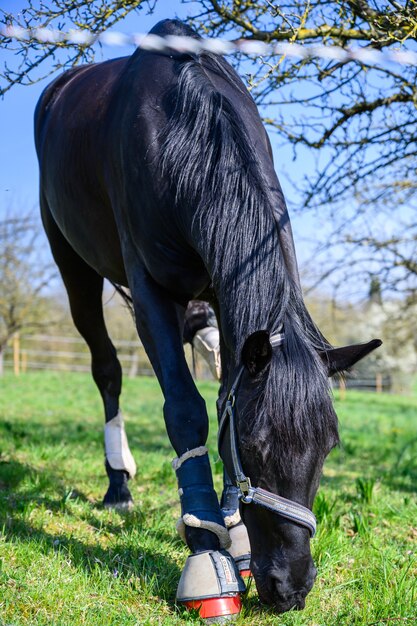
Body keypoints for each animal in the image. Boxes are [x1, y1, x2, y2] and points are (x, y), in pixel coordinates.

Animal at [34, 18, 378, 608]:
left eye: (329, 447)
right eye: (254, 446)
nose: (290, 587)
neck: (180, 131)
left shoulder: (223, 289)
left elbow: (222, 395)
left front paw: (230, 530)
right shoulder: (149, 289)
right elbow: (185, 408)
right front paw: (203, 547)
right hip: (73, 265)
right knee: (107, 369)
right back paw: (119, 484)